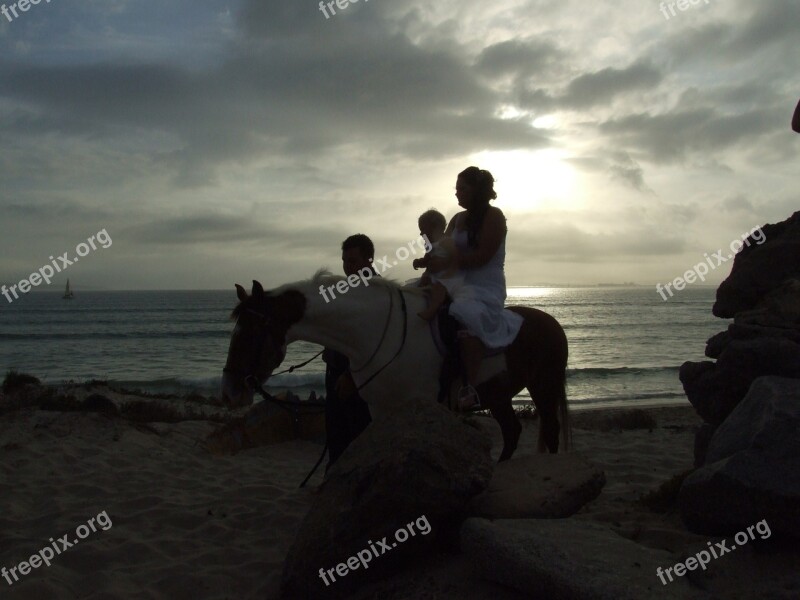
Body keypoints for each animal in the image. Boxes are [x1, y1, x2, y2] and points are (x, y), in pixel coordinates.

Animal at [219, 270, 568, 462]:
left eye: (252, 333)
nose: (230, 391)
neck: (373, 332)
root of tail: (553, 323)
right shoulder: (380, 407)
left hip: (543, 387)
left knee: (550, 432)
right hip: (499, 395)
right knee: (512, 432)